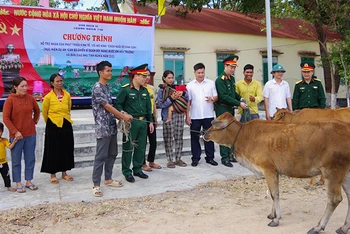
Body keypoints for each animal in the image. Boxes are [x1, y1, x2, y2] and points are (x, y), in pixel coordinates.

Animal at [204, 112, 350, 233]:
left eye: (215, 123)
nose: (204, 133)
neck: (245, 136)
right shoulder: (275, 171)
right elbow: (275, 193)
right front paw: (272, 214)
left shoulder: (267, 168)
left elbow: (274, 194)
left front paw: (276, 219)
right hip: (345, 173)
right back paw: (344, 227)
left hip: (333, 171)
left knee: (334, 199)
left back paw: (318, 227)